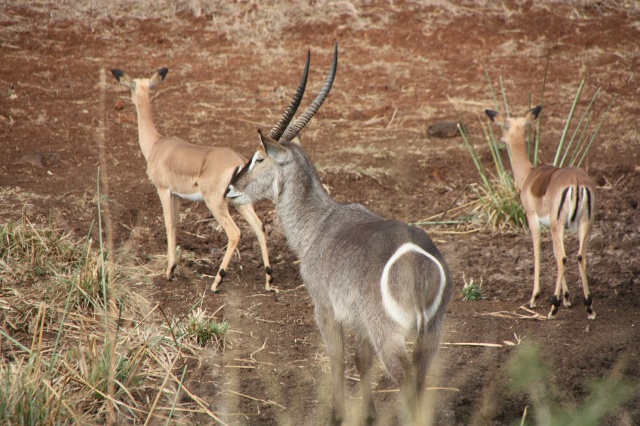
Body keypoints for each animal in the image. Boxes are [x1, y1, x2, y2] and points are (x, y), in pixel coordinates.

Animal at [110, 61, 313, 292]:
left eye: (132, 87)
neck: (156, 145)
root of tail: (236, 160)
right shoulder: (177, 196)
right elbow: (176, 224)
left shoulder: (163, 190)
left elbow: (169, 224)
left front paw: (170, 270)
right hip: (239, 201)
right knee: (259, 226)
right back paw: (268, 280)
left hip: (215, 203)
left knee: (235, 233)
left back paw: (217, 281)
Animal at [226, 43, 454, 425]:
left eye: (259, 158)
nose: (231, 189)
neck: (318, 222)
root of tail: (418, 258)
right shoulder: (359, 323)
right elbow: (361, 362)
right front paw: (368, 413)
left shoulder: (324, 307)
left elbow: (336, 358)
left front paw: (336, 414)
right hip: (431, 334)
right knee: (420, 382)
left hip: (390, 333)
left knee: (407, 383)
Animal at [486, 106, 596, 320]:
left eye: (504, 126)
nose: (501, 140)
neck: (529, 175)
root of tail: (577, 182)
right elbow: (554, 252)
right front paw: (567, 299)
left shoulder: (532, 219)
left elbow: (537, 250)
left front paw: (535, 298)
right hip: (583, 224)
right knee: (580, 256)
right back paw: (588, 307)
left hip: (558, 225)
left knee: (563, 258)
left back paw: (553, 307)